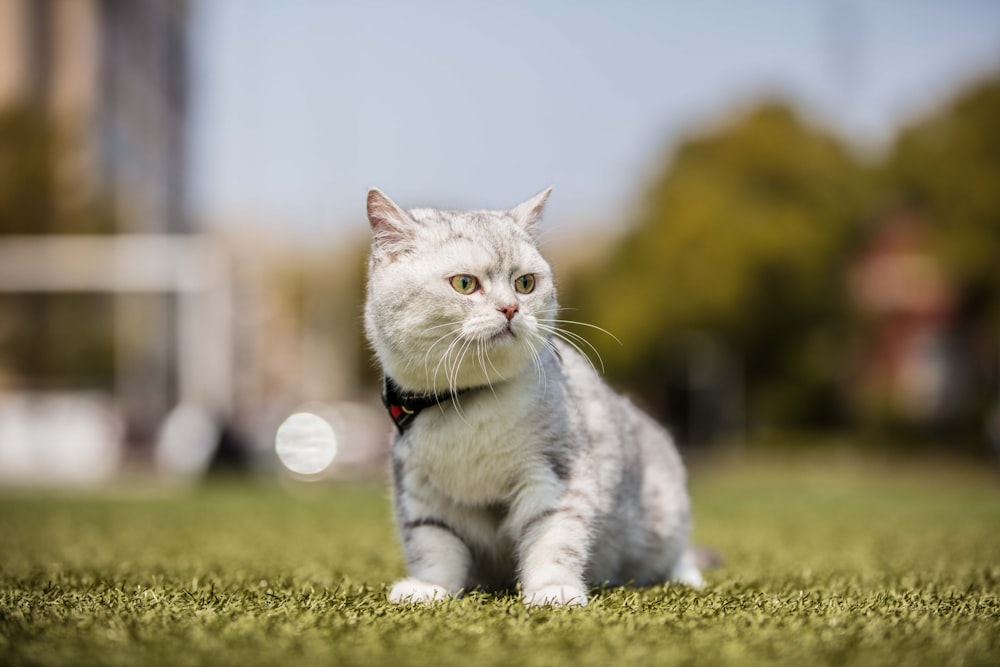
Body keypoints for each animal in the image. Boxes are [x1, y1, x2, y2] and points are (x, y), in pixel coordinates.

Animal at [362, 187, 704, 604]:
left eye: (525, 283)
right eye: (464, 283)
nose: (510, 308)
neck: (467, 400)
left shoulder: (554, 475)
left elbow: (552, 538)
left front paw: (553, 590)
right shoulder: (419, 490)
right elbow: (433, 543)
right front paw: (429, 589)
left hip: (664, 513)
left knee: (675, 553)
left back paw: (686, 577)